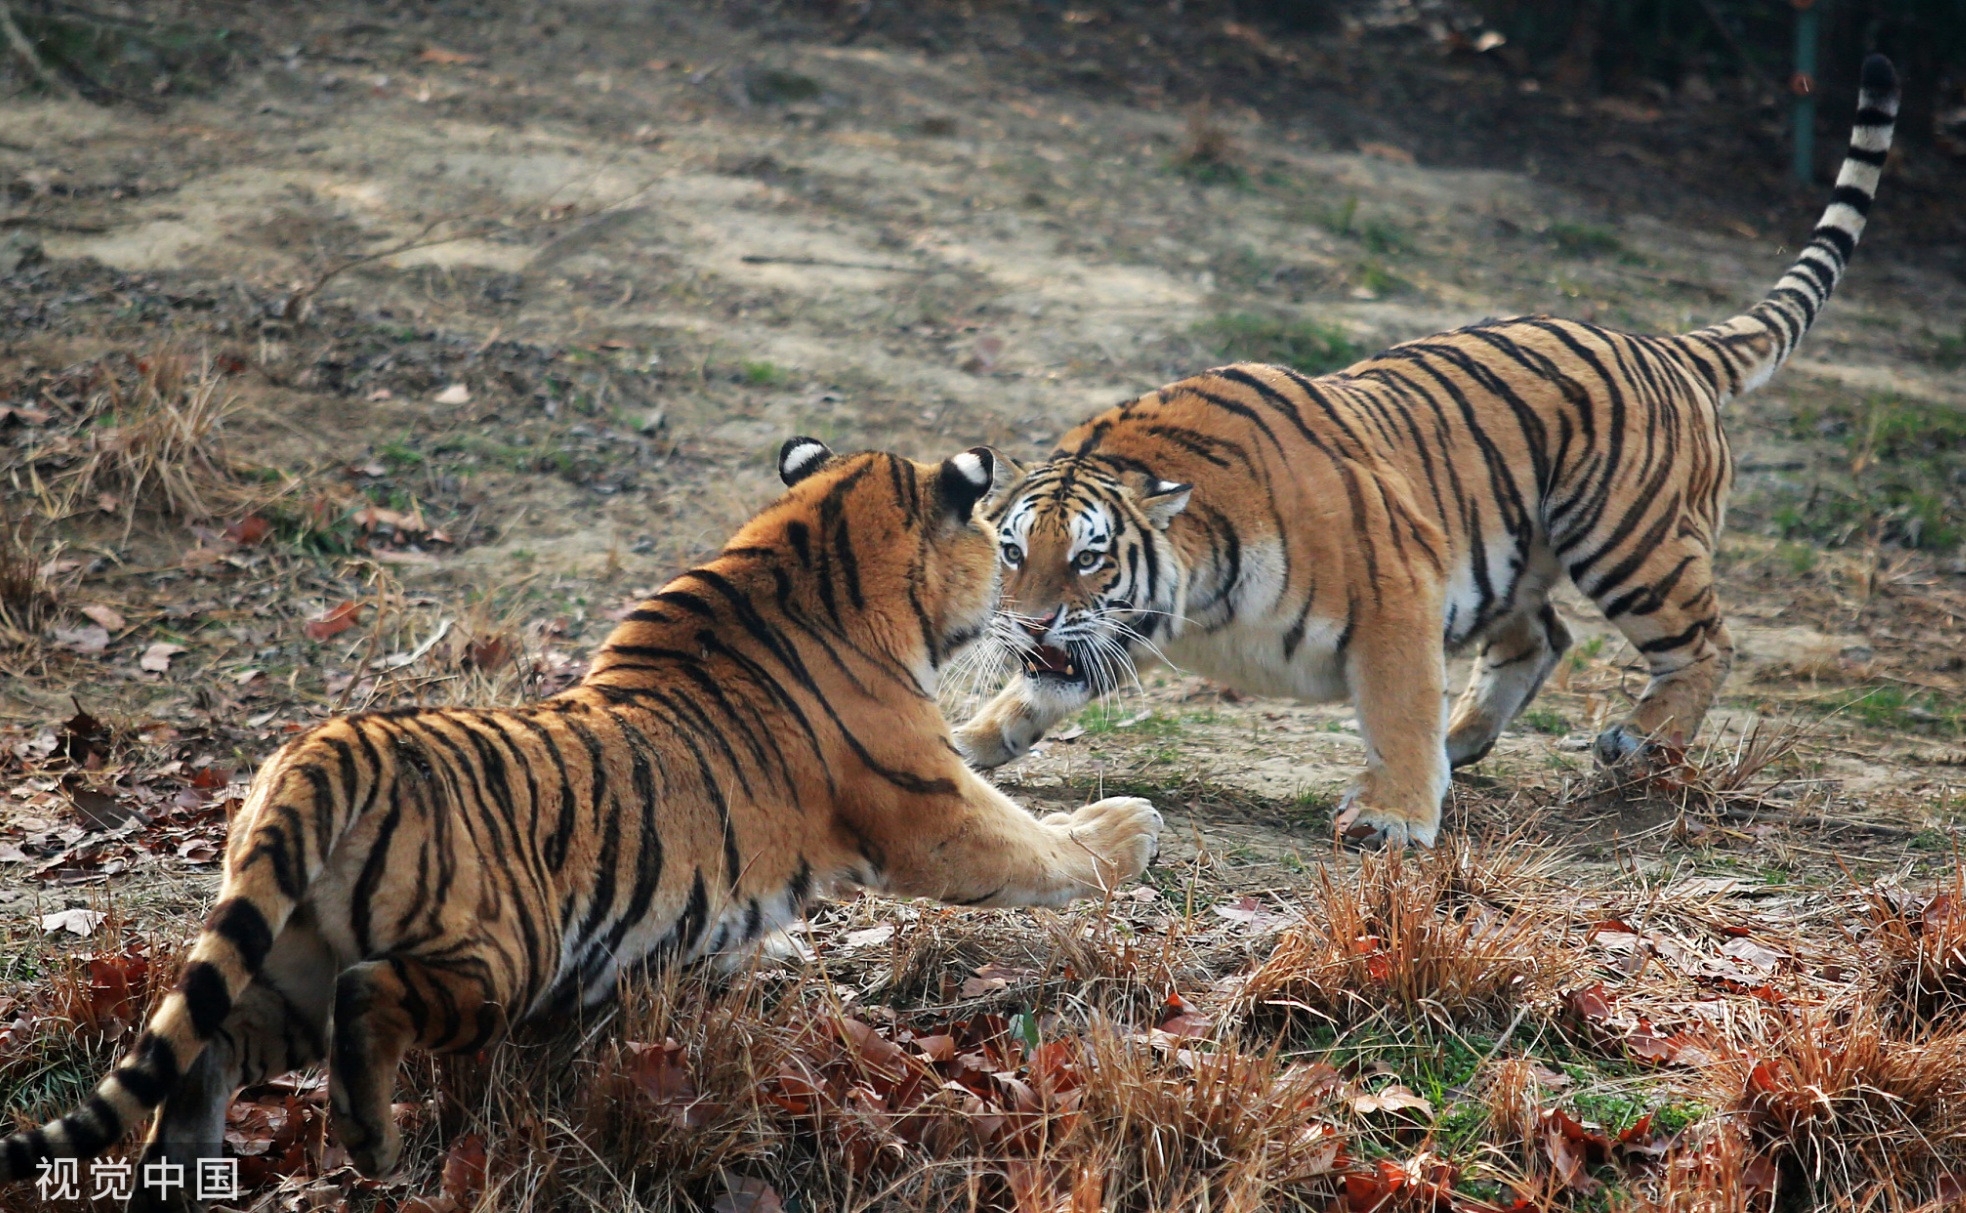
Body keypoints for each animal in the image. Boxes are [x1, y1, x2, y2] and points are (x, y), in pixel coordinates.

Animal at [0, 439, 1163, 1208]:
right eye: (1002, 548)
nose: (1022, 617)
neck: (809, 550)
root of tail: (328, 747)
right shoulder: (927, 807)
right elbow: (1032, 843)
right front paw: (1128, 831)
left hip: (286, 955)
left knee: (206, 1051)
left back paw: (177, 1173)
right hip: (497, 950)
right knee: (371, 998)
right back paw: (370, 1144)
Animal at [953, 55, 1899, 848]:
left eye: (1090, 557)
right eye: (1015, 552)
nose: (1028, 622)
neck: (1201, 576)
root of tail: (1665, 345)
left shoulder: (1396, 591)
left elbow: (1397, 708)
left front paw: (1394, 817)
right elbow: (1034, 687)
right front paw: (969, 737)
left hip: (1630, 542)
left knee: (1705, 644)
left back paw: (1638, 740)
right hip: (1511, 553)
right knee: (1543, 637)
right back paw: (1465, 740)